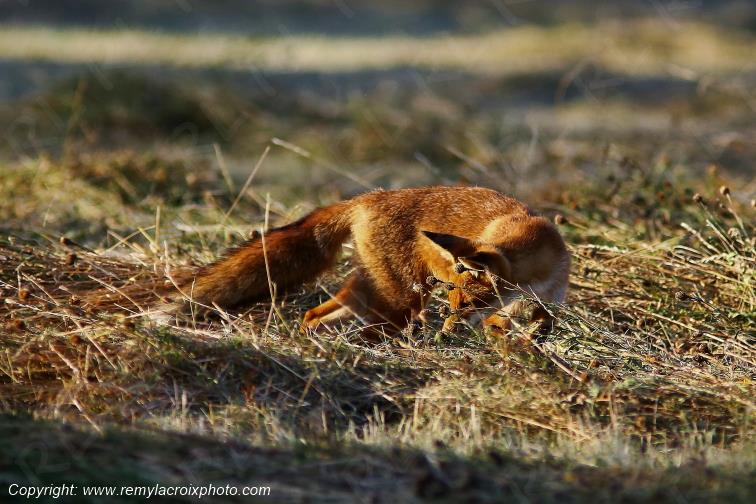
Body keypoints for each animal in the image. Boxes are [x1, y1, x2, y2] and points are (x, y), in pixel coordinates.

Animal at [161, 186, 570, 336]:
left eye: (467, 302)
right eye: (453, 300)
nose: (446, 333)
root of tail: (368, 197)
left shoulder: (543, 305)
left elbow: (539, 326)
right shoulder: (499, 315)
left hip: (372, 292)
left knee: (313, 315)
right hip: (400, 302)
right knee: (365, 328)